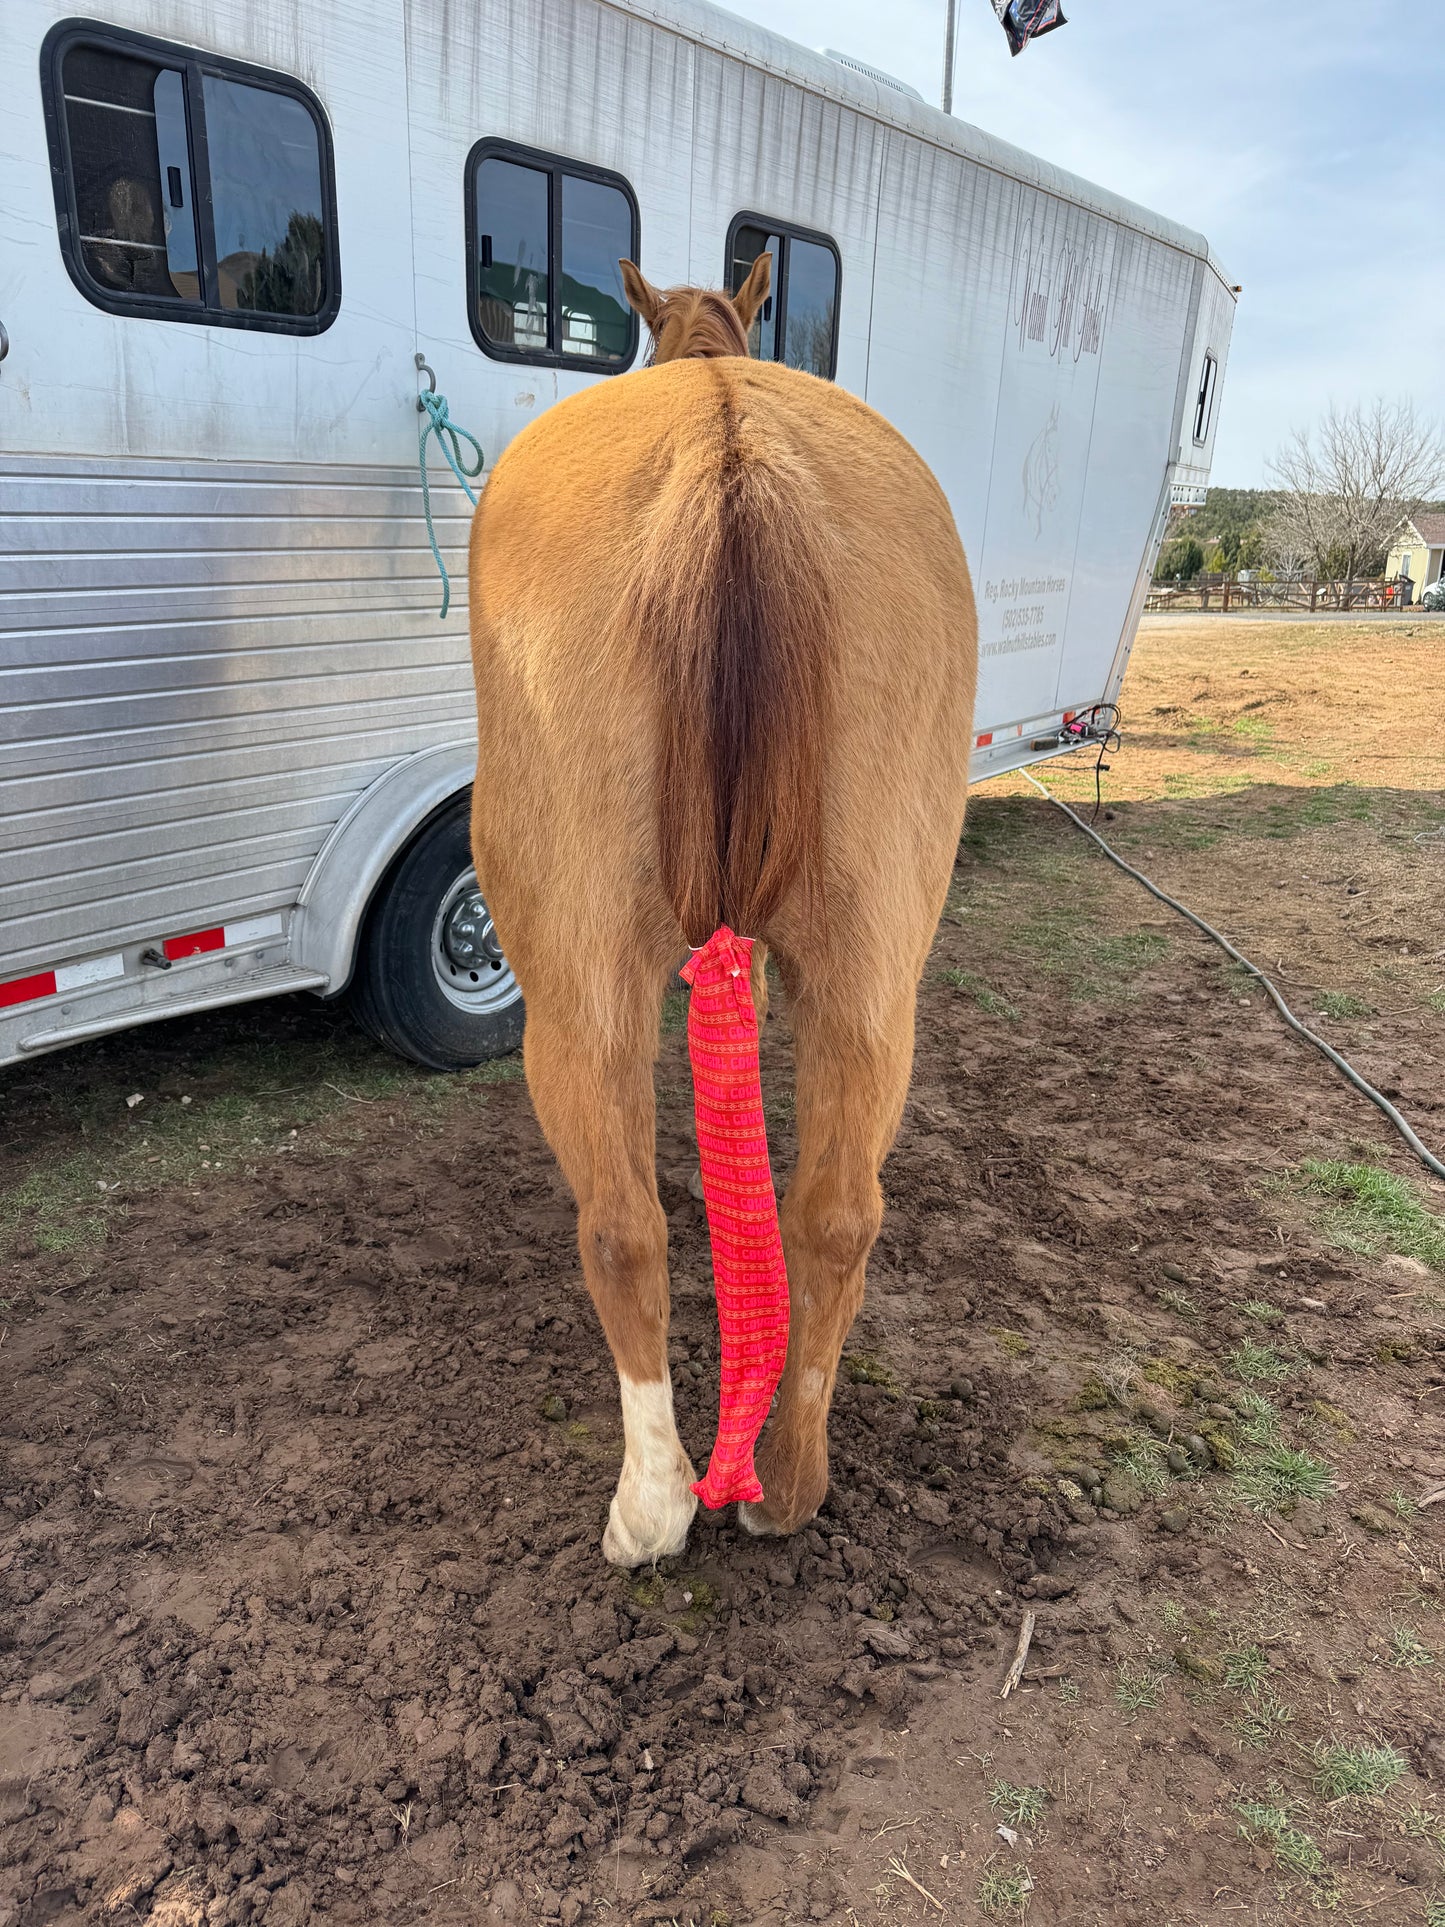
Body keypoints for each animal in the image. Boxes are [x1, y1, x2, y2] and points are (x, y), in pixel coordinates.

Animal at [466, 252, 977, 1566]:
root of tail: (726, 450)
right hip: (868, 975)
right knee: (836, 1215)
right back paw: (784, 1481)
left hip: (576, 992)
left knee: (622, 1226)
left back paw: (652, 1507)